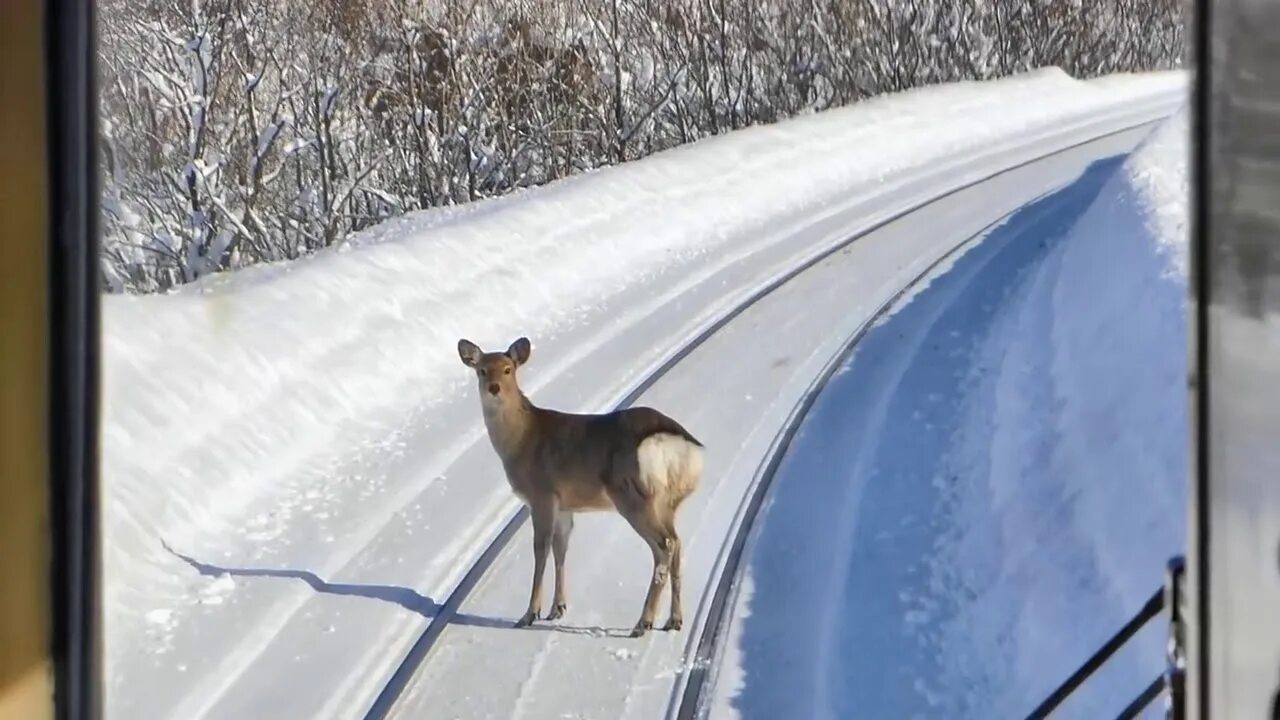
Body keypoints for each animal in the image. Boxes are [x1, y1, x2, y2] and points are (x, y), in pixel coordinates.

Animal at [458, 333, 706, 635]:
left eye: (508, 369)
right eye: (482, 370)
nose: (494, 388)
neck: (520, 440)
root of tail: (679, 444)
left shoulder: (542, 494)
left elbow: (541, 549)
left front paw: (530, 613)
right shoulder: (565, 505)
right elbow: (560, 549)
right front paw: (557, 608)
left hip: (632, 494)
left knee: (664, 546)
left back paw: (643, 622)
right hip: (669, 500)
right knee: (677, 543)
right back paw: (674, 620)